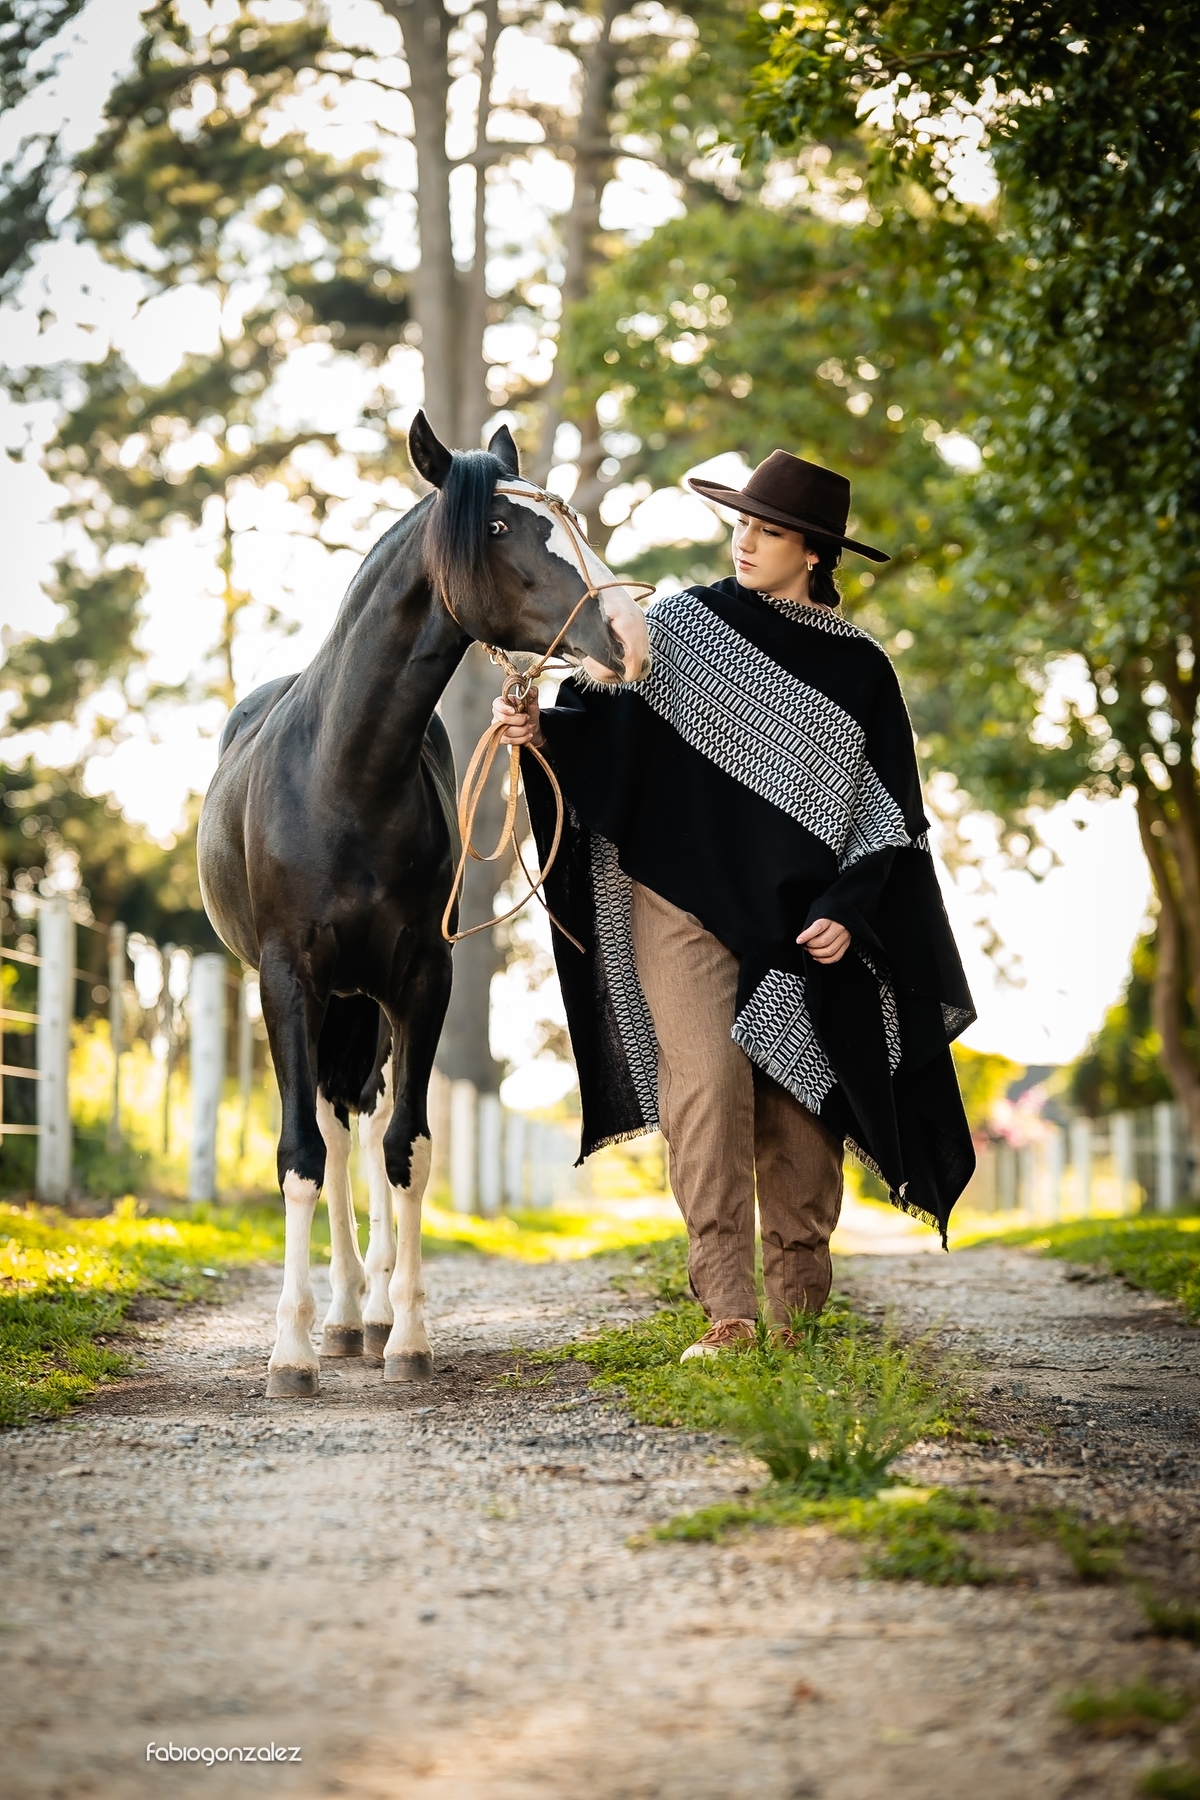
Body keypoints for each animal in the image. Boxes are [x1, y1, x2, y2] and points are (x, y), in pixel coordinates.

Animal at [196, 411, 649, 1398]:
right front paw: (290, 1355)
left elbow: (408, 1148)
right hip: (329, 999)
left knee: (365, 1127)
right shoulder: (288, 979)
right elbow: (299, 1155)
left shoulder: (421, 978)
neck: (345, 777)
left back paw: (362, 1314)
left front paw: (405, 1335)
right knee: (333, 1133)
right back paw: (333, 1318)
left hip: (366, 1003)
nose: (630, 631)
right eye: (499, 526)